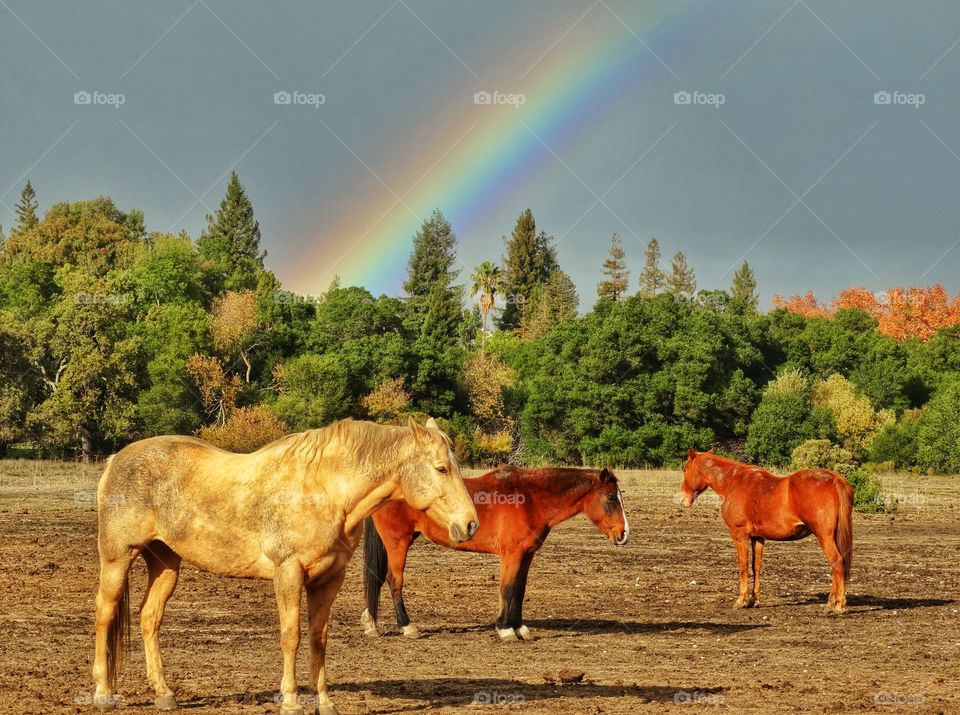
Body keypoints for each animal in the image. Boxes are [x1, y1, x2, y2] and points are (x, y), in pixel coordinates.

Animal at [93, 416, 476, 712]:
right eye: (441, 468)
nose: (470, 524)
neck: (324, 491)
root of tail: (115, 460)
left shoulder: (329, 579)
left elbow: (319, 638)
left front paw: (325, 702)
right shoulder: (288, 572)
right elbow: (291, 636)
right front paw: (291, 701)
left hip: (165, 563)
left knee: (149, 618)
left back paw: (164, 693)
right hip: (117, 558)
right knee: (105, 612)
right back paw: (103, 693)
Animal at [360, 468, 632, 640]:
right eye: (610, 497)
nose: (624, 533)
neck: (531, 499)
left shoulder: (526, 555)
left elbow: (519, 590)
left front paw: (520, 627)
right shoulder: (511, 554)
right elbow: (508, 589)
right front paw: (505, 629)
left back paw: (372, 623)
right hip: (398, 543)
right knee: (394, 581)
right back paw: (407, 627)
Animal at [680, 450, 852, 612]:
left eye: (685, 468)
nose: (683, 499)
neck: (734, 482)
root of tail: (835, 479)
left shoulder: (739, 535)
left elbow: (743, 566)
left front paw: (741, 600)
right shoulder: (757, 538)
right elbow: (756, 567)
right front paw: (753, 600)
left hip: (825, 537)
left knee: (837, 563)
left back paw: (838, 605)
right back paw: (831, 602)